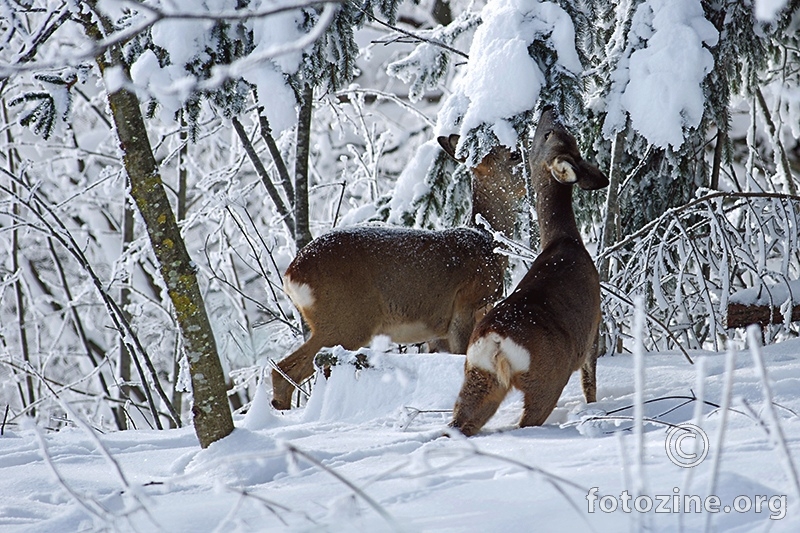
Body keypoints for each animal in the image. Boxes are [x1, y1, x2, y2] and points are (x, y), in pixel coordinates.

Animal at [272, 136, 528, 408]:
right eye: (513, 155)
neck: (487, 245)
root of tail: (291, 275)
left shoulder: (436, 331)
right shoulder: (466, 306)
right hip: (345, 322)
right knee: (290, 369)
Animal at [450, 108, 608, 436]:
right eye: (549, 134)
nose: (549, 108)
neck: (565, 240)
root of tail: (496, 339)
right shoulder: (594, 325)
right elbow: (590, 383)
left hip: (479, 374)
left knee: (460, 420)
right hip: (547, 377)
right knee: (528, 420)